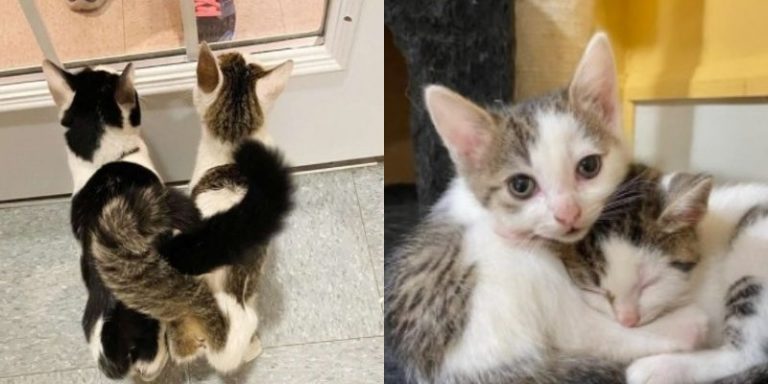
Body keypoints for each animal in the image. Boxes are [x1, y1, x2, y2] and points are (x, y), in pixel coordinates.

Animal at [560, 166, 768, 384]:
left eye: (649, 283)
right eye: (595, 290)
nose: (628, 321)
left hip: (751, 242)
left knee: (748, 355)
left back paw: (658, 367)